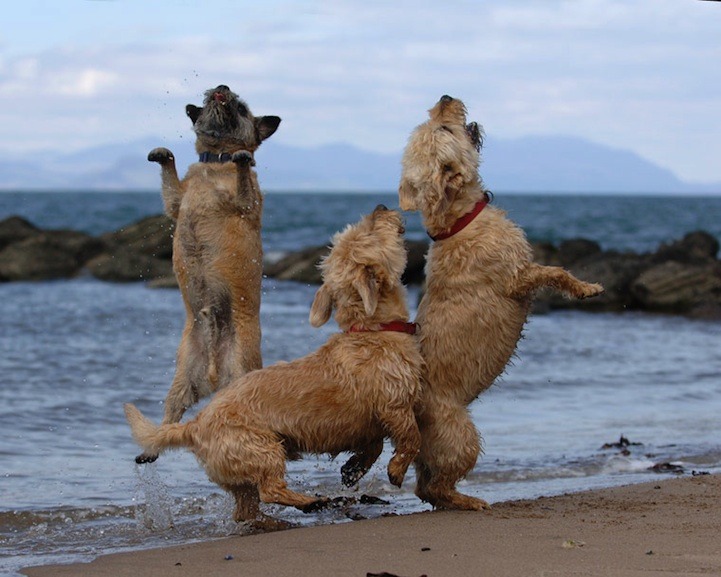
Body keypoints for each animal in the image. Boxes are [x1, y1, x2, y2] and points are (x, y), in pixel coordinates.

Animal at [126, 205, 424, 520]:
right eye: (367, 231)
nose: (381, 207)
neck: (371, 331)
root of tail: (194, 426)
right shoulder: (395, 406)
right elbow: (411, 438)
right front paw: (396, 470)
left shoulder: (368, 424)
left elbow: (374, 445)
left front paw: (352, 470)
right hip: (263, 449)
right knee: (269, 489)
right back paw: (310, 501)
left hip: (241, 475)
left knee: (247, 504)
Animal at [136, 84, 280, 464]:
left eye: (242, 108)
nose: (222, 89)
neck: (214, 164)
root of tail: (214, 374)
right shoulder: (176, 202)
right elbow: (171, 185)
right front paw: (163, 155)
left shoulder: (247, 203)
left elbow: (244, 181)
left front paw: (243, 158)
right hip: (182, 378)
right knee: (172, 412)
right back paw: (151, 448)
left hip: (239, 368)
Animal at [390, 95, 604, 508]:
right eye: (444, 128)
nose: (444, 97)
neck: (458, 223)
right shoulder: (518, 277)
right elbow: (555, 271)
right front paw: (587, 287)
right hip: (462, 436)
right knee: (436, 484)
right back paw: (469, 501)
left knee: (425, 485)